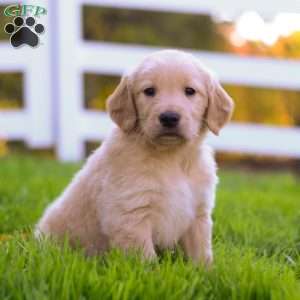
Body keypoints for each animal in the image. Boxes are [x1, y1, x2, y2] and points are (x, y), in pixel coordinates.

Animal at [35, 49, 234, 264]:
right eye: (149, 91)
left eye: (190, 91)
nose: (169, 117)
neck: (172, 157)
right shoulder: (130, 213)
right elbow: (145, 258)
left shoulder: (198, 213)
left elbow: (201, 253)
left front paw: (206, 271)